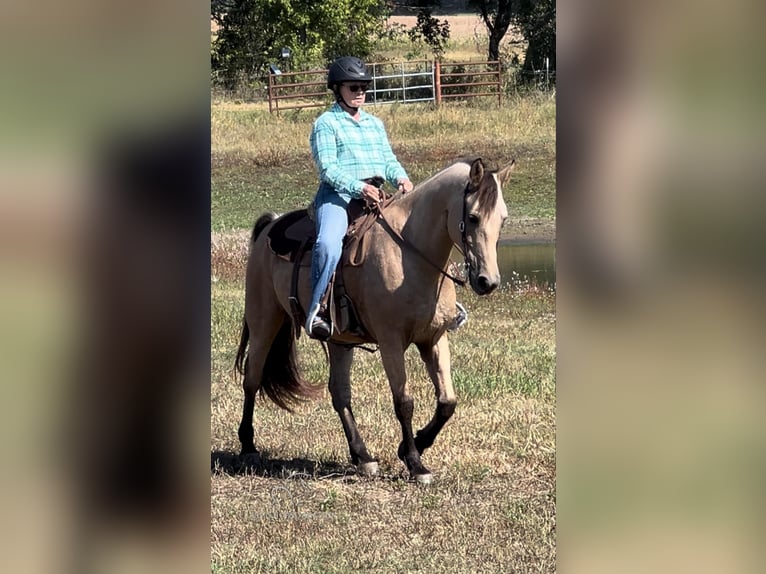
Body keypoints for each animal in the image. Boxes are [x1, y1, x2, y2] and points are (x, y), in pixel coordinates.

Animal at [236, 158, 516, 486]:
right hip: (264, 320)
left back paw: (363, 457)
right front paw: (415, 463)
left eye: (503, 219)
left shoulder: (434, 338)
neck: (410, 256)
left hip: (338, 341)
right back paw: (248, 446)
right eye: (472, 217)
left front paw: (413, 446)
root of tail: (271, 224)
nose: (488, 281)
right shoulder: (390, 341)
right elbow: (404, 402)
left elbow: (447, 401)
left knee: (339, 393)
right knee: (252, 379)